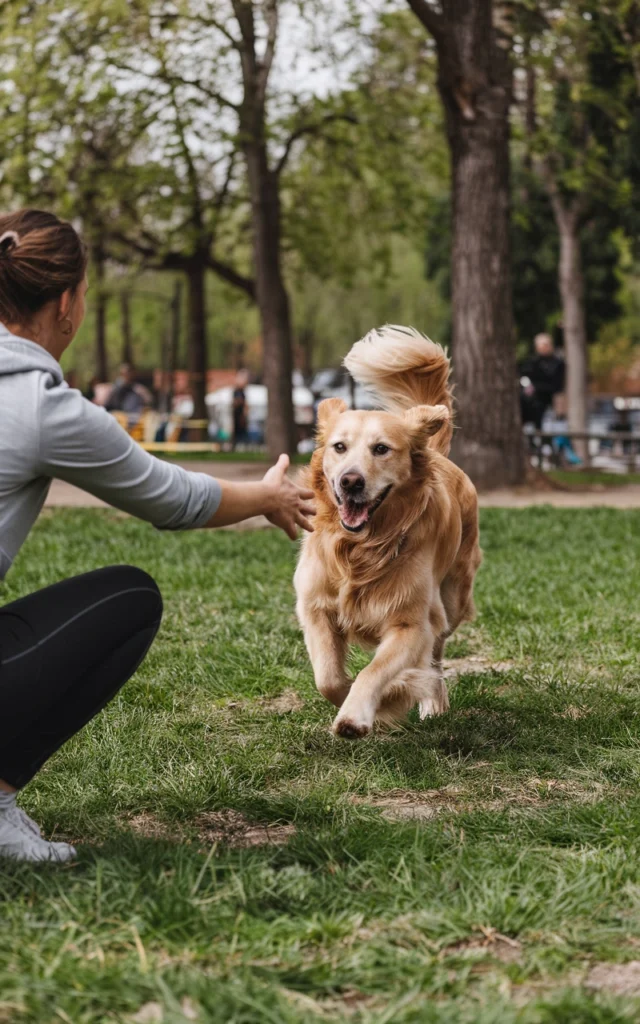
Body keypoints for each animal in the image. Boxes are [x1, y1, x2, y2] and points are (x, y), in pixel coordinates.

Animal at [292, 325, 479, 737]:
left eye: (381, 449)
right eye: (339, 447)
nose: (350, 482)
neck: (360, 548)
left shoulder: (412, 622)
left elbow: (374, 672)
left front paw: (373, 707)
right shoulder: (315, 607)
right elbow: (329, 679)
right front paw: (379, 702)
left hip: (452, 598)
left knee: (436, 656)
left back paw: (432, 703)